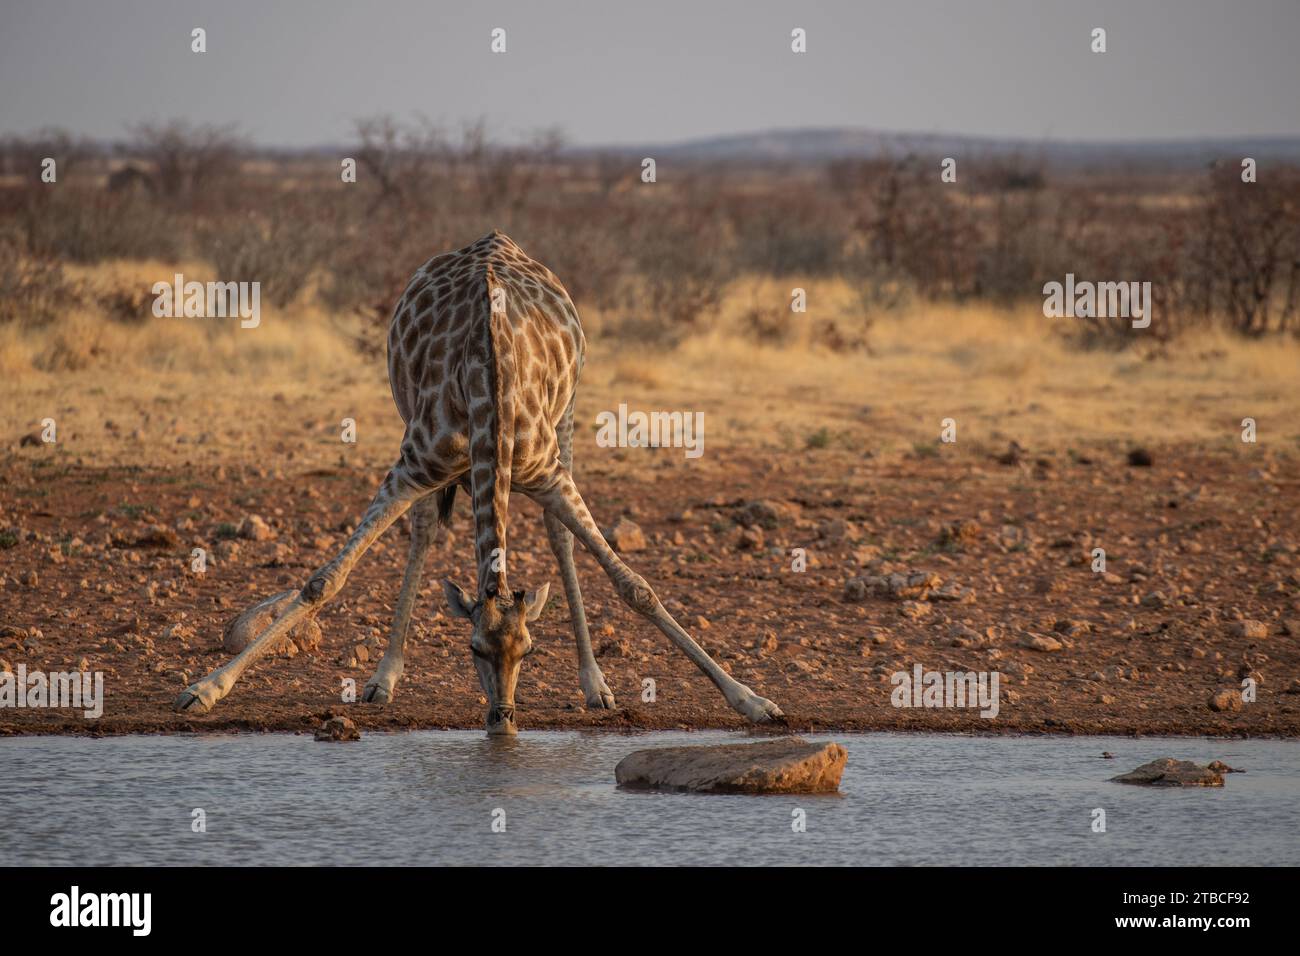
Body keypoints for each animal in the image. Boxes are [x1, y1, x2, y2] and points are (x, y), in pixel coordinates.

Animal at [176, 230, 785, 733]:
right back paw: (383, 678)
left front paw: (753, 701)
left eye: (530, 651)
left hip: (567, 418)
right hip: (407, 418)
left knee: (558, 537)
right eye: (472, 649)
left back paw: (597, 686)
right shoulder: (412, 465)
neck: (489, 382)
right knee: (424, 529)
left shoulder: (548, 471)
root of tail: (496, 239)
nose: (502, 719)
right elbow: (324, 581)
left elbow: (635, 586)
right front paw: (205, 688)